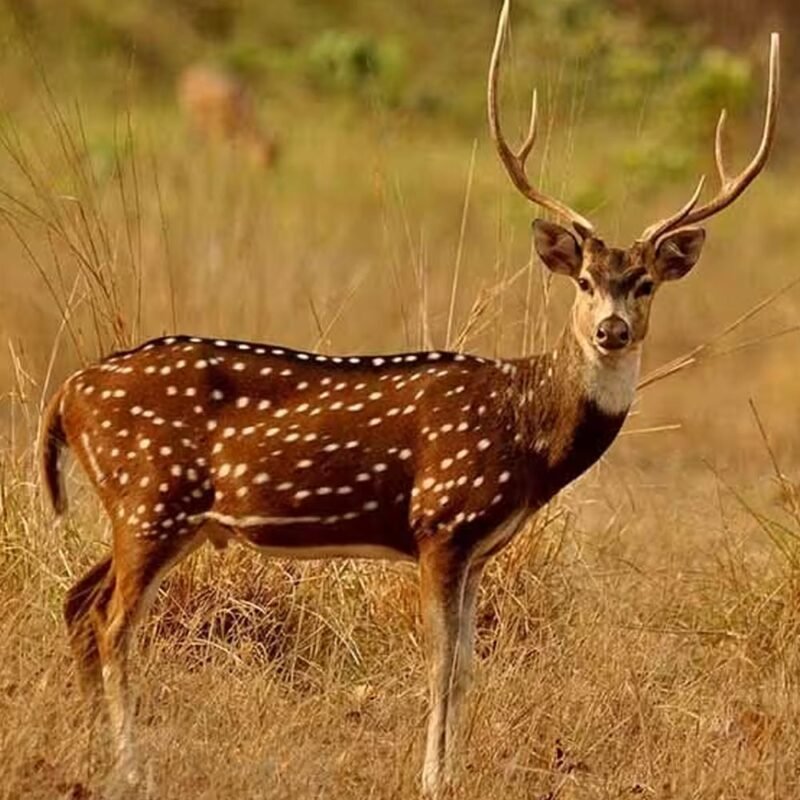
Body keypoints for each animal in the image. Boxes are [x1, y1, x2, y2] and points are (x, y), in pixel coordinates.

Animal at [40, 1, 779, 796]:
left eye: (644, 283)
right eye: (584, 281)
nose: (611, 330)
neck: (527, 431)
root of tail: (67, 396)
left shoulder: (481, 548)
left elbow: (468, 669)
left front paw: (453, 769)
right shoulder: (440, 521)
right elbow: (440, 666)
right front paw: (432, 778)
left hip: (153, 513)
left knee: (79, 602)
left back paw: (92, 751)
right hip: (151, 496)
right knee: (113, 623)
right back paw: (131, 768)